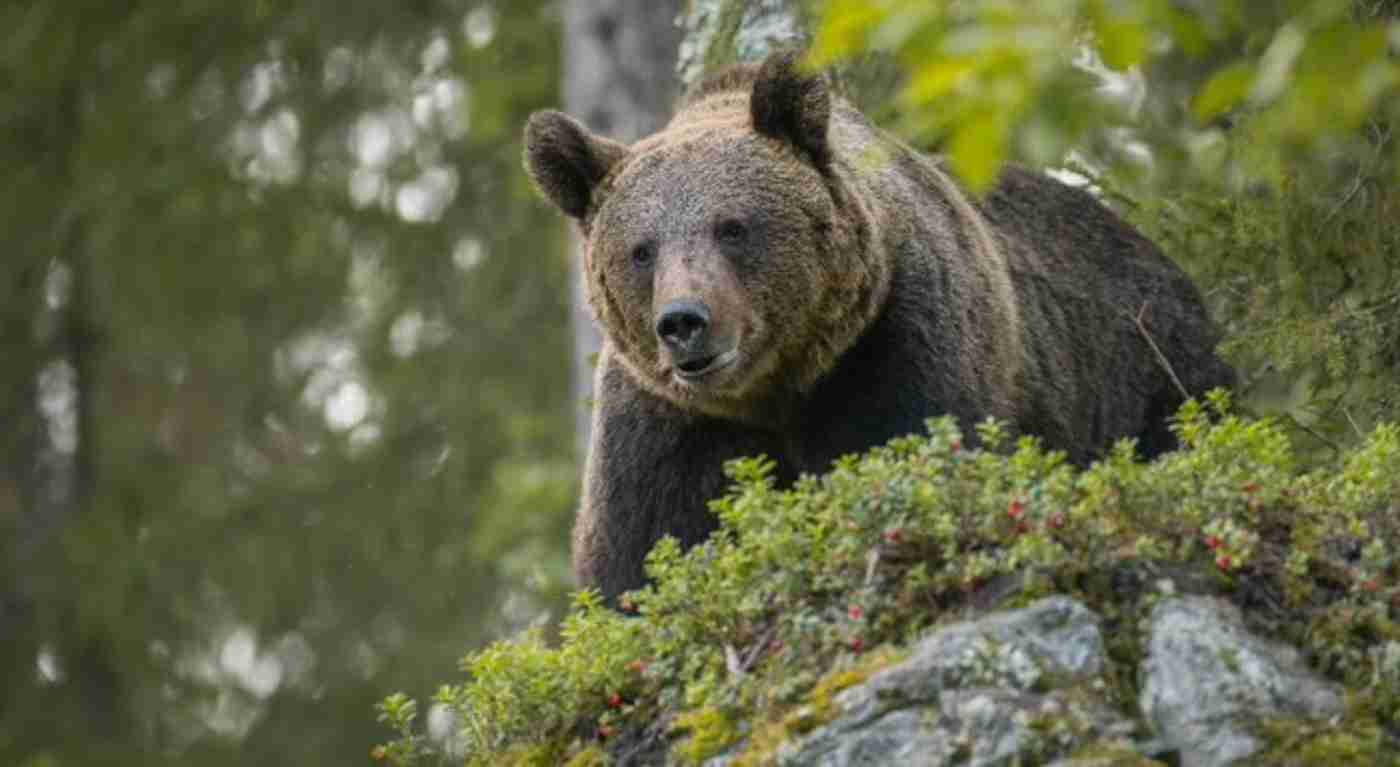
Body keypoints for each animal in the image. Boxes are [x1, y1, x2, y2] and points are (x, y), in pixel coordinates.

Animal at [526, 51, 1237, 601]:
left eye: (732, 227)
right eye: (641, 250)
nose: (684, 322)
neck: (778, 390)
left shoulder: (898, 346)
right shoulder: (666, 424)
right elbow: (641, 558)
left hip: (1151, 371)